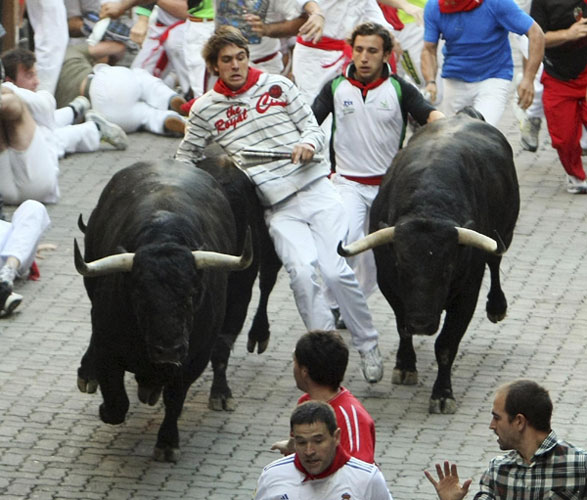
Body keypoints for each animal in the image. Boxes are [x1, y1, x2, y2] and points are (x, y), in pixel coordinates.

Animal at [74, 159, 282, 460]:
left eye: (193, 294)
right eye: (139, 294)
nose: (169, 350)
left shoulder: (195, 355)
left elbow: (176, 397)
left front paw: (167, 442)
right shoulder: (106, 344)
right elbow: (115, 402)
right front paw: (108, 404)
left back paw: (219, 393)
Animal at [338, 114, 520, 414]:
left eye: (447, 269)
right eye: (401, 266)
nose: (422, 323)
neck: (429, 203)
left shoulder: (467, 294)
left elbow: (446, 344)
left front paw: (443, 394)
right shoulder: (390, 284)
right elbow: (402, 327)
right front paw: (405, 366)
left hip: (504, 233)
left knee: (495, 261)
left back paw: (497, 307)